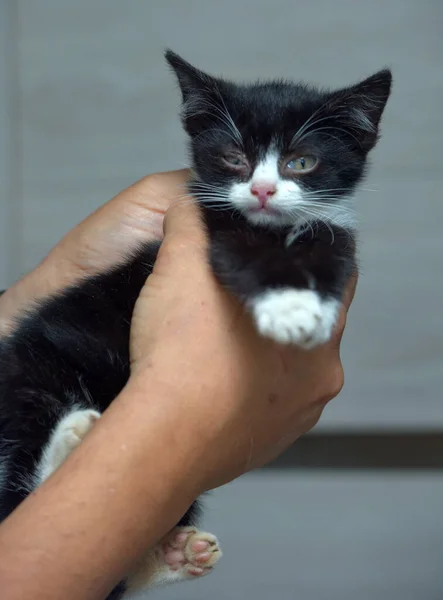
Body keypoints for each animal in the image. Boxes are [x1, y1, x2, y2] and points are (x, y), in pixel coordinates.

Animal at [0, 52, 392, 600]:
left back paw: (173, 555)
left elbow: (333, 250)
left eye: (301, 162)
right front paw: (289, 308)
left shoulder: (330, 228)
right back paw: (71, 443)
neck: (271, 227)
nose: (262, 190)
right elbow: (241, 256)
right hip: (35, 372)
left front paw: (307, 301)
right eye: (233, 157)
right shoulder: (215, 223)